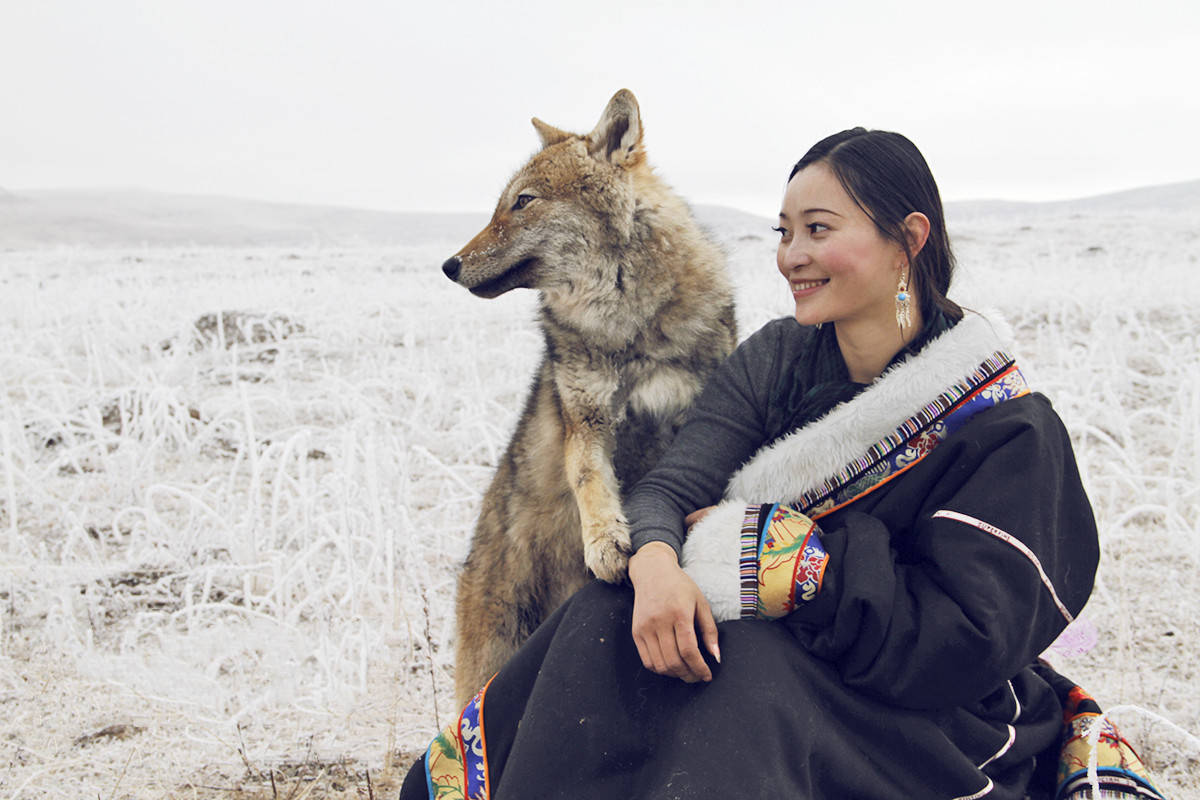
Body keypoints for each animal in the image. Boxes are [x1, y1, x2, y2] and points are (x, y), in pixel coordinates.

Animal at [446, 90, 734, 705]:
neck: (628, 323)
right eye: (500, 204)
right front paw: (607, 545)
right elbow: (588, 478)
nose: (449, 265)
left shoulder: (692, 413)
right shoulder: (587, 418)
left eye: (522, 202)